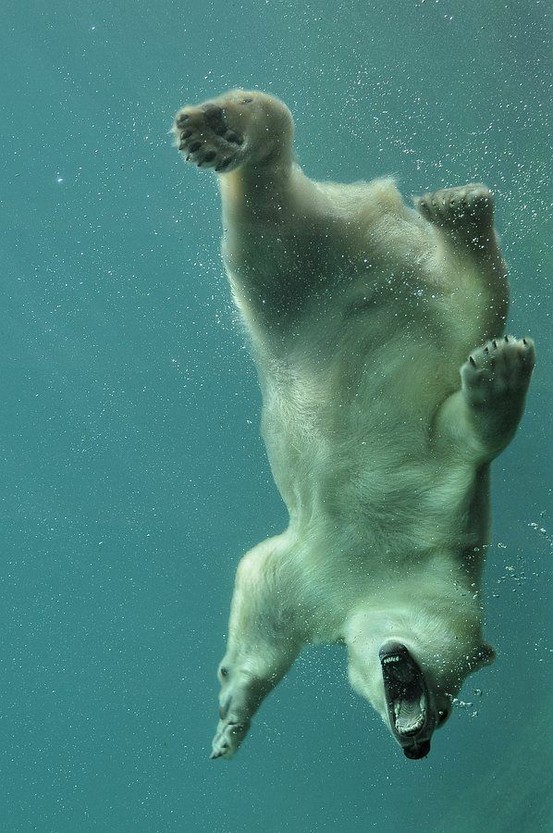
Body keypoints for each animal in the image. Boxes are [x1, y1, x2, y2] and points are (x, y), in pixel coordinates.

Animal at [172, 90, 535, 760]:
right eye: (446, 707)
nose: (417, 746)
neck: (391, 562)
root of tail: (372, 217)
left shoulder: (326, 573)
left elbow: (261, 591)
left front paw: (229, 718)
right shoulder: (433, 503)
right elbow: (469, 433)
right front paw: (502, 368)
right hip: (316, 281)